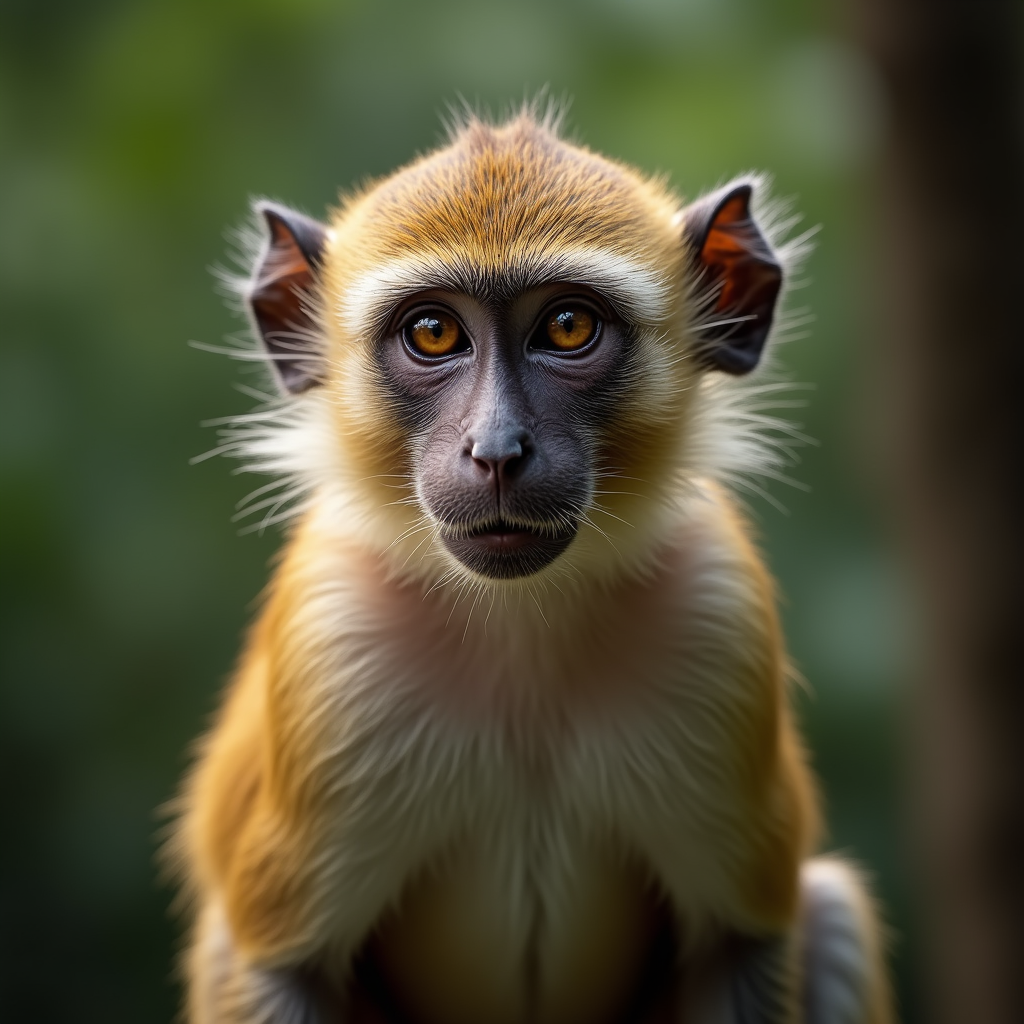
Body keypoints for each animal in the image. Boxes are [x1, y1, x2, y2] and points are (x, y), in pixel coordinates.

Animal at [170, 107, 896, 1024]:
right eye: (433, 333)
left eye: (568, 327)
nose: (497, 450)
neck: (524, 626)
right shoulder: (330, 634)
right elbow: (280, 965)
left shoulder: (718, 610)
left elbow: (740, 944)